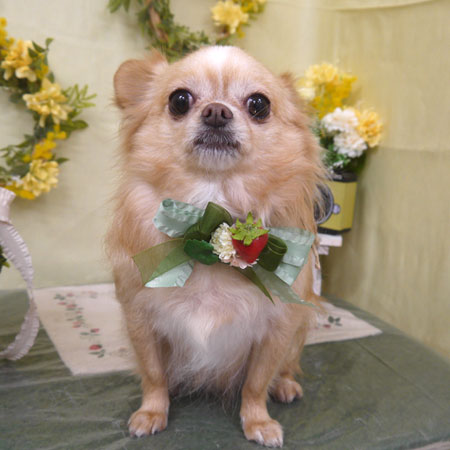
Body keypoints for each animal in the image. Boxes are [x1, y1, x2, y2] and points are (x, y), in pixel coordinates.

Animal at [106, 45, 324, 447]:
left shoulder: (277, 329)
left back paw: (285, 385)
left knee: (286, 367)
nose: (217, 111)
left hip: (298, 332)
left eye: (258, 104)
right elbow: (153, 376)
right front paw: (152, 412)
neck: (211, 216)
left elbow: (256, 384)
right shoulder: (140, 319)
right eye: (179, 100)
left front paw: (257, 421)